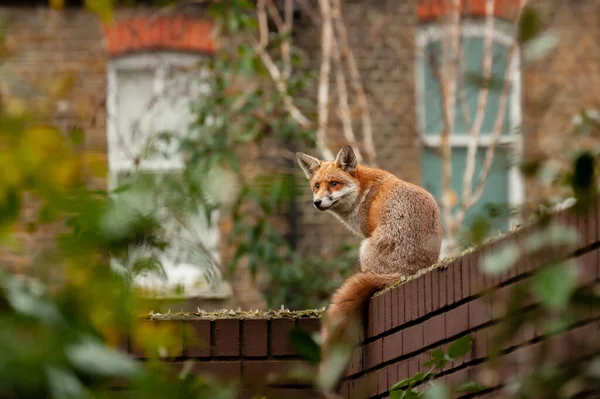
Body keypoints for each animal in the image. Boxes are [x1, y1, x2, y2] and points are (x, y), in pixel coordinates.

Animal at [296, 145, 440, 390]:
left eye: (334, 183)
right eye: (316, 185)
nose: (317, 202)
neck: (363, 193)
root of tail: (404, 273)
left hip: (363, 250)